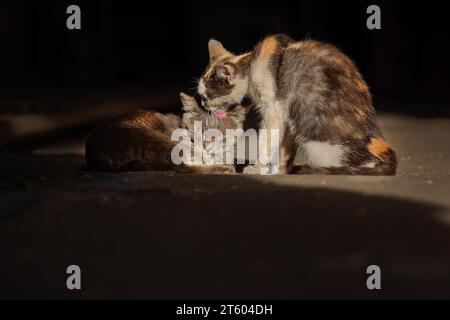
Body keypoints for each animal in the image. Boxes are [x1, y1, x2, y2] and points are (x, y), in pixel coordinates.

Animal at [197, 33, 398, 175]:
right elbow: (284, 147)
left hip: (316, 143)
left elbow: (266, 143)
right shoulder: (286, 114)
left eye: (206, 96)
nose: (204, 105)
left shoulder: (274, 111)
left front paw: (258, 168)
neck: (251, 62)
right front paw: (280, 169)